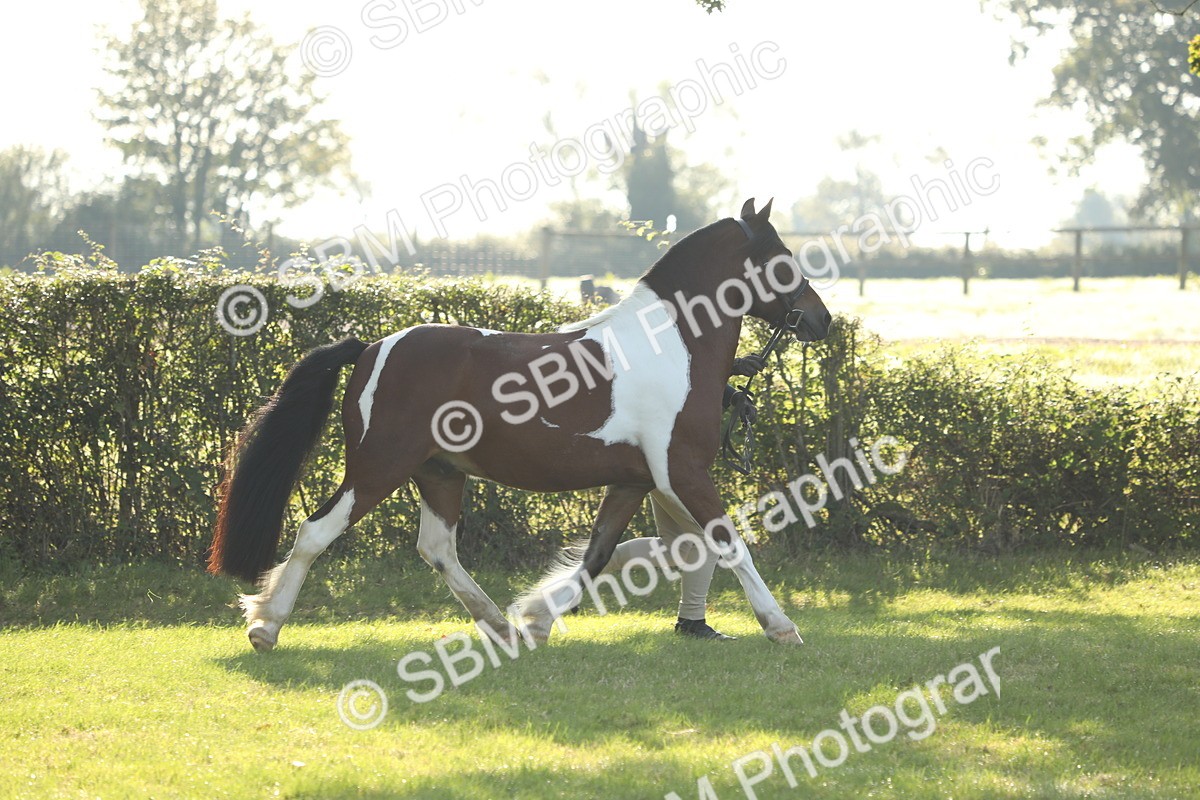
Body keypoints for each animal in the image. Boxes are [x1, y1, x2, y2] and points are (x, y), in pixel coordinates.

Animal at [208, 198, 831, 652]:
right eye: (782, 256)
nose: (821, 318)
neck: (673, 344)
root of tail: (371, 348)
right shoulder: (681, 472)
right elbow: (730, 544)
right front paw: (781, 626)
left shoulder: (633, 480)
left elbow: (601, 555)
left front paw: (536, 618)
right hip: (378, 467)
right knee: (315, 532)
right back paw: (265, 627)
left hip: (439, 472)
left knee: (438, 549)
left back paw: (500, 627)